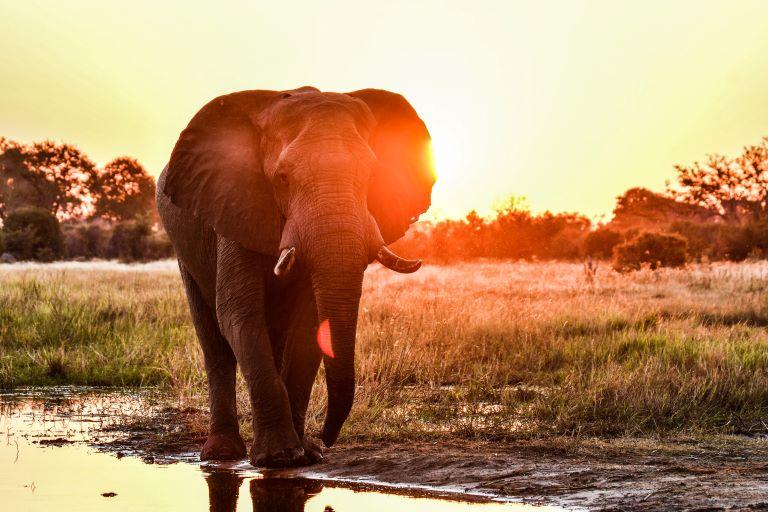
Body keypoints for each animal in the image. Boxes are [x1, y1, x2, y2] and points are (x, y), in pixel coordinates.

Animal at [156, 86, 434, 468]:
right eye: (283, 179)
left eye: (371, 175)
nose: (327, 439)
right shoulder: (234, 206)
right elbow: (238, 313)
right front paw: (279, 458)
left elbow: (310, 322)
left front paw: (306, 456)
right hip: (185, 248)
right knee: (214, 339)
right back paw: (221, 454)